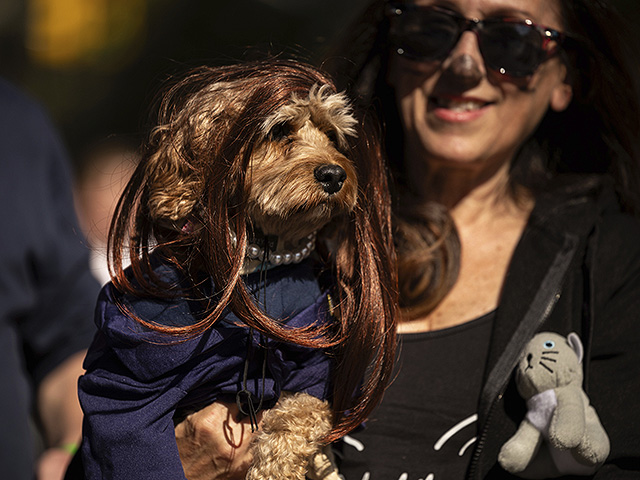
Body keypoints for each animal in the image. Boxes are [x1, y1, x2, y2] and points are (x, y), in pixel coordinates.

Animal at [78, 61, 398, 480]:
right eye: (280, 130)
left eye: (332, 135)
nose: (334, 175)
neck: (258, 264)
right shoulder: (131, 374)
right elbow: (128, 434)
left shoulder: (310, 361)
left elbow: (302, 413)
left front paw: (275, 467)